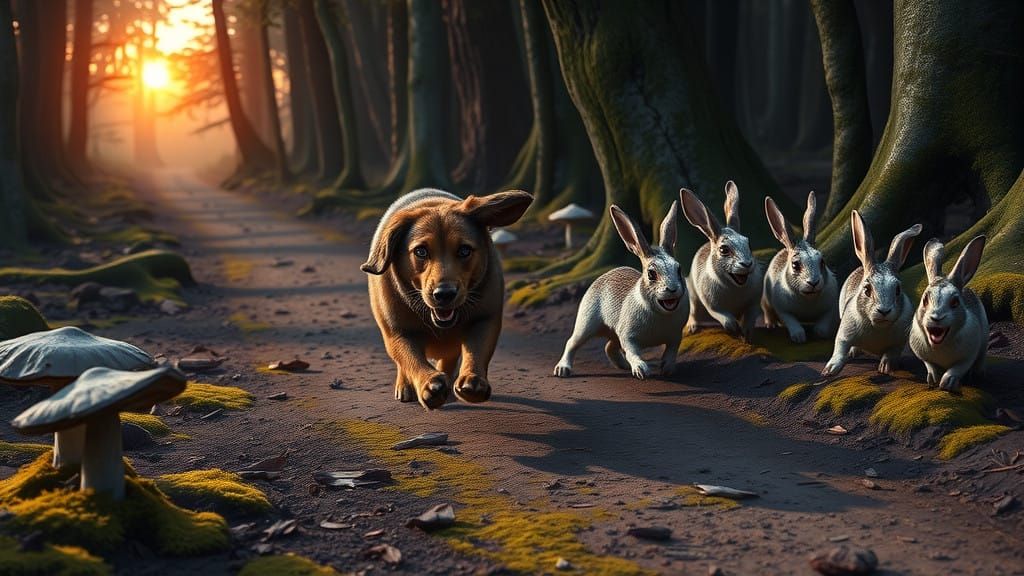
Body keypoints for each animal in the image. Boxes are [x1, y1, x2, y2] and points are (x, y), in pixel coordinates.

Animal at [553, 201, 688, 380]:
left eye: (679, 269)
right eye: (651, 274)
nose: (672, 289)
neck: (659, 313)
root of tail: (604, 275)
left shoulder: (676, 335)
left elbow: (672, 350)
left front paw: (667, 368)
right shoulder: (628, 336)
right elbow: (631, 351)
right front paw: (641, 370)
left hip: (612, 331)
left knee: (609, 346)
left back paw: (623, 366)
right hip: (586, 323)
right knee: (572, 342)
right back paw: (562, 369)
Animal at [679, 181, 762, 340]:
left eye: (748, 243)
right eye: (724, 249)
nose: (747, 264)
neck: (735, 287)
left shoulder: (754, 302)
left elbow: (751, 315)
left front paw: (746, 334)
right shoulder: (712, 304)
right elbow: (723, 315)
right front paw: (734, 329)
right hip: (692, 295)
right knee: (694, 312)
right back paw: (692, 328)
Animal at [761, 192, 839, 343]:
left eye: (822, 261)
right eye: (795, 265)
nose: (813, 282)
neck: (807, 299)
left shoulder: (831, 307)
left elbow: (824, 322)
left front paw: (819, 333)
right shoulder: (782, 309)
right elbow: (791, 321)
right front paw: (799, 337)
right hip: (766, 298)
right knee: (767, 310)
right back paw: (770, 325)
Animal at [822, 210, 922, 377]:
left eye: (898, 290)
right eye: (867, 289)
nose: (884, 311)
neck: (877, 326)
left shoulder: (899, 341)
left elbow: (892, 353)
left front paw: (886, 367)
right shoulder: (845, 332)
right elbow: (840, 349)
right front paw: (829, 370)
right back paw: (853, 353)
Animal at [909, 236, 988, 392]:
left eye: (955, 302)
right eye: (925, 300)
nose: (936, 318)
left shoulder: (968, 355)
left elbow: (957, 369)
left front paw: (947, 383)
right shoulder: (924, 356)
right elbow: (930, 365)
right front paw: (933, 379)